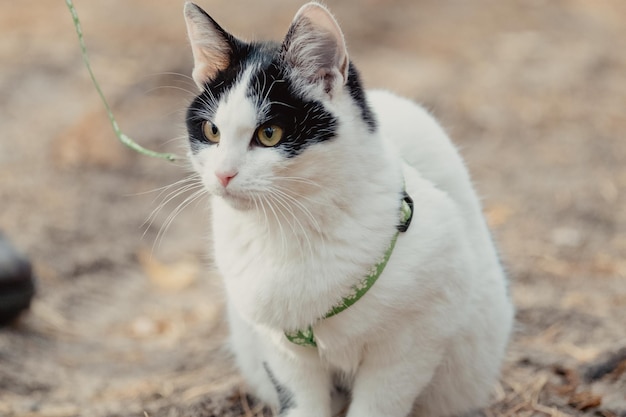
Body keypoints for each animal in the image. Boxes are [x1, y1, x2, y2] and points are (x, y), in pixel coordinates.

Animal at [180, 1, 512, 414]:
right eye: (212, 132)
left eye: (269, 134)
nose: (223, 174)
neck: (290, 226)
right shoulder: (282, 354)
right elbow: (301, 403)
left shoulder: (412, 344)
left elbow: (378, 404)